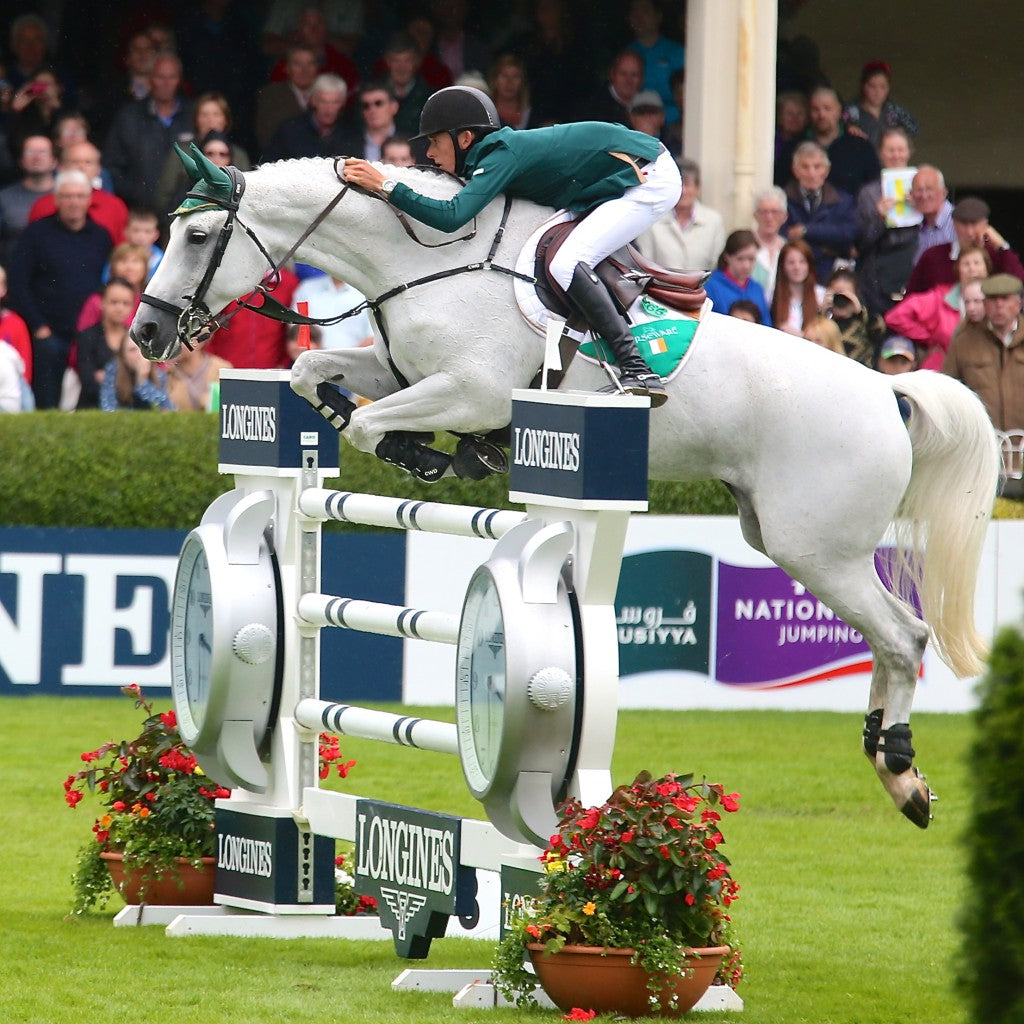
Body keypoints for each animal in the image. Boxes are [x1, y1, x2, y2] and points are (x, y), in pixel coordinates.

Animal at [130, 149, 999, 823]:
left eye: (198, 235)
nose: (145, 332)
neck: (424, 261)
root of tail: (886, 391)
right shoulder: (402, 371)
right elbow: (315, 371)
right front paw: (376, 427)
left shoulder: (469, 389)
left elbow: (379, 427)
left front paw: (435, 455)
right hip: (787, 538)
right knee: (891, 640)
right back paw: (895, 769)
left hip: (817, 546)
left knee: (903, 637)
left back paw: (902, 774)